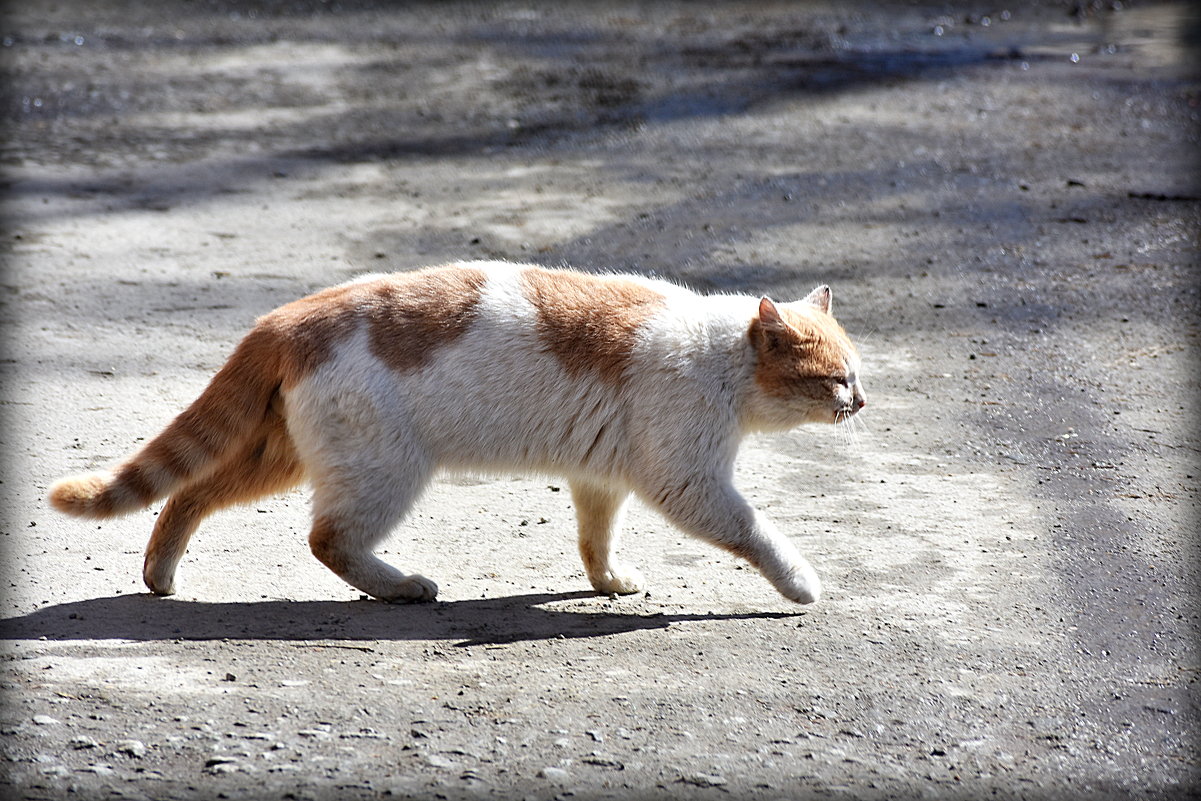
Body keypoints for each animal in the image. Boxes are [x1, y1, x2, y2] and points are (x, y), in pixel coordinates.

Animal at [49, 262, 864, 607]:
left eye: (855, 374)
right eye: (835, 379)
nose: (861, 400)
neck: (718, 354)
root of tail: (285, 316)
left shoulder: (601, 478)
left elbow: (594, 539)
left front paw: (607, 582)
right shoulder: (690, 483)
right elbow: (758, 533)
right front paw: (800, 583)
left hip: (280, 457)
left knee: (188, 493)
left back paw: (160, 575)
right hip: (383, 470)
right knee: (327, 540)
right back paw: (404, 587)